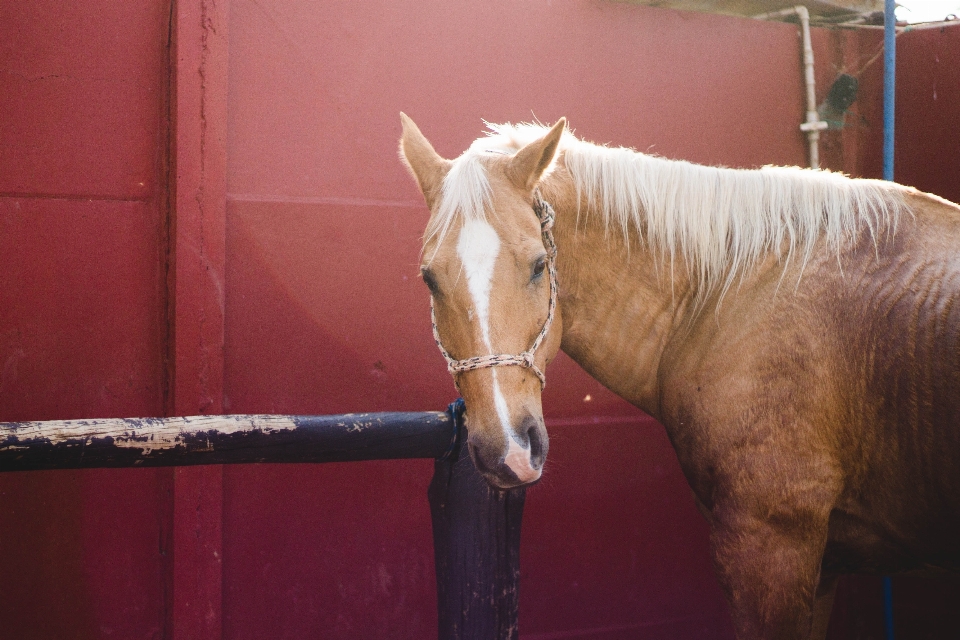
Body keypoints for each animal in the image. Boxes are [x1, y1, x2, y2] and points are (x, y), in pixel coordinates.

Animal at [398, 112, 960, 636]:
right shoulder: (822, 564)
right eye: (429, 279)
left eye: (539, 264)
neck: (728, 292)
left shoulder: (770, 545)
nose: (509, 451)